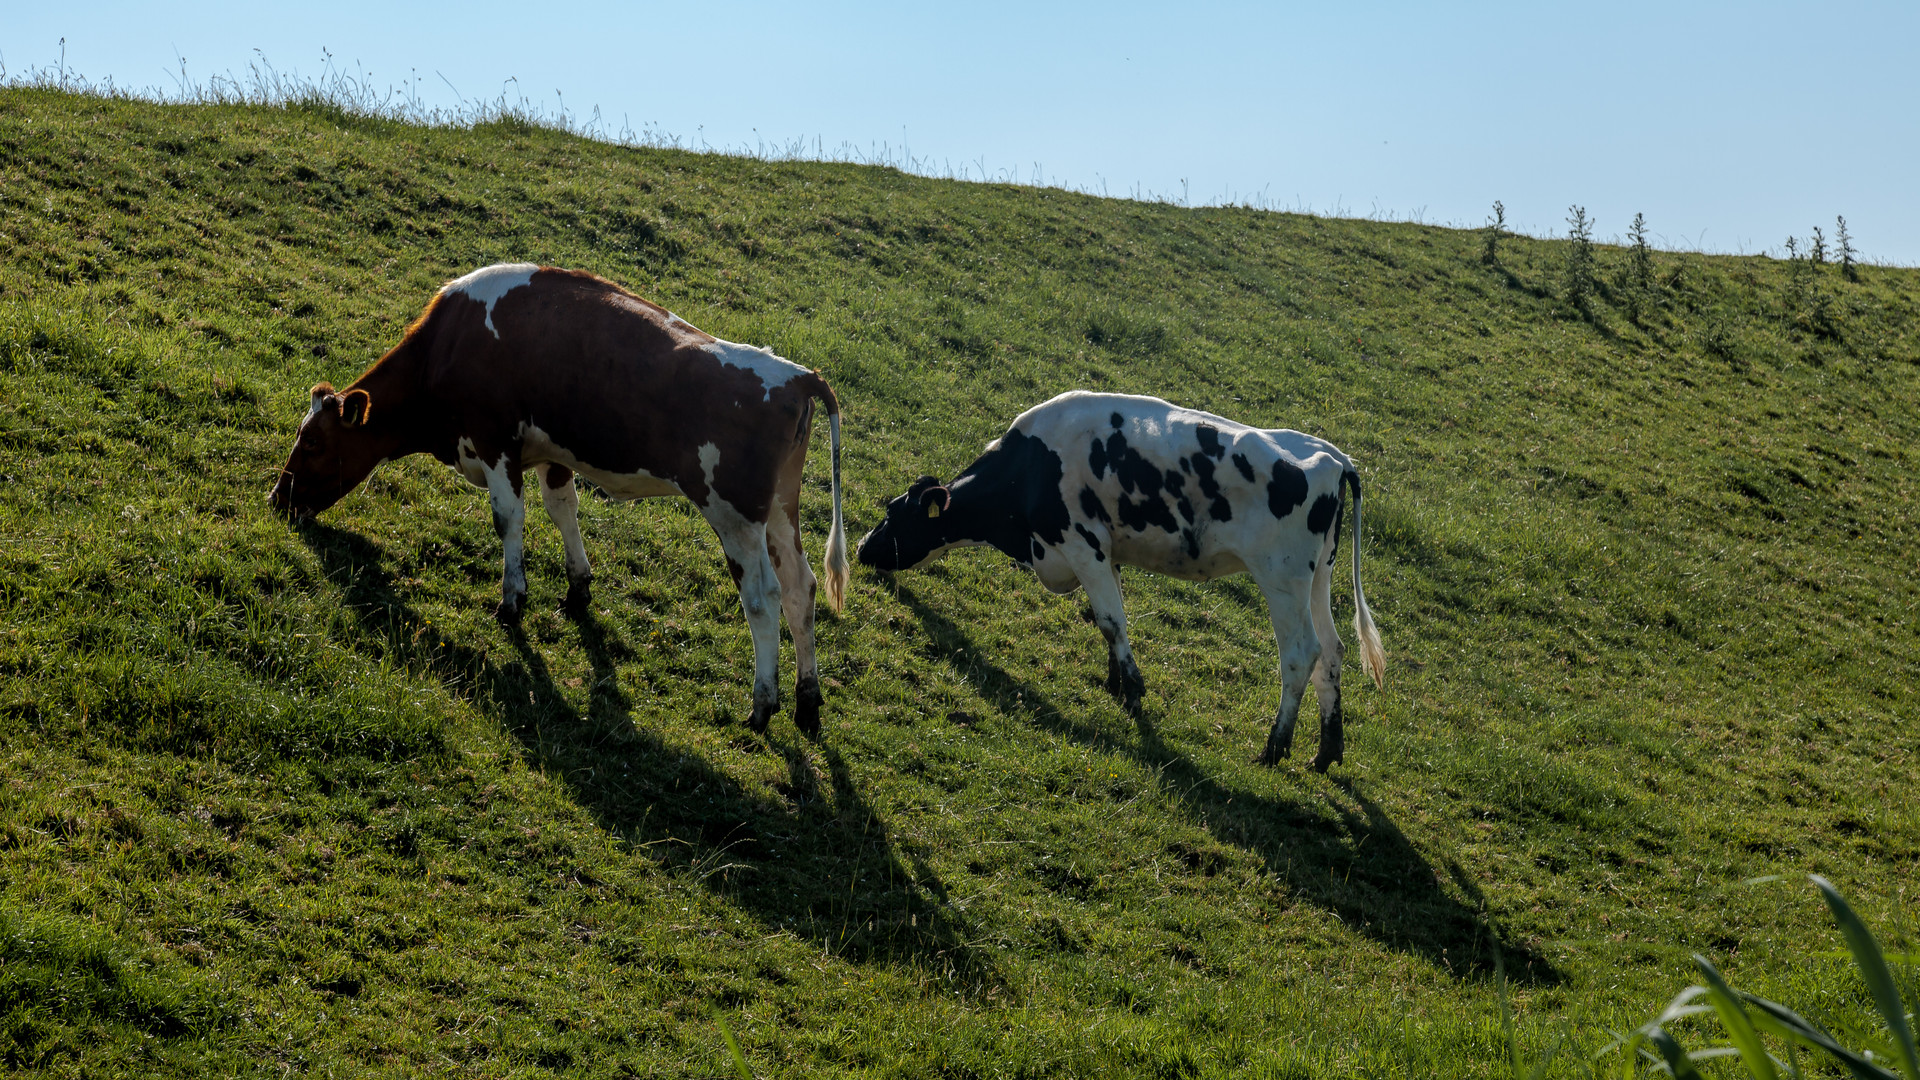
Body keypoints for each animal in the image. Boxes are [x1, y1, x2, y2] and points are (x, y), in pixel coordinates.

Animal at [268, 263, 848, 730]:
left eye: (313, 441)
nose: (277, 497)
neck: (449, 344)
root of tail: (798, 375)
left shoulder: (495, 441)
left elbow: (509, 520)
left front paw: (511, 601)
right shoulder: (550, 453)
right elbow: (562, 512)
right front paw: (577, 588)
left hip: (734, 517)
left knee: (763, 597)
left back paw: (762, 706)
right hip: (780, 512)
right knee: (801, 589)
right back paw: (807, 701)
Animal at [856, 386, 1382, 764]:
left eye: (893, 513)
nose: (862, 548)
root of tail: (1334, 457)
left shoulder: (1082, 543)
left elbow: (1112, 621)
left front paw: (1132, 690)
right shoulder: (1106, 550)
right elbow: (1106, 619)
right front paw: (1114, 681)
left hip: (1281, 578)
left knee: (1301, 654)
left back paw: (1274, 748)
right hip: (1318, 577)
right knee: (1332, 651)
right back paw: (1326, 752)